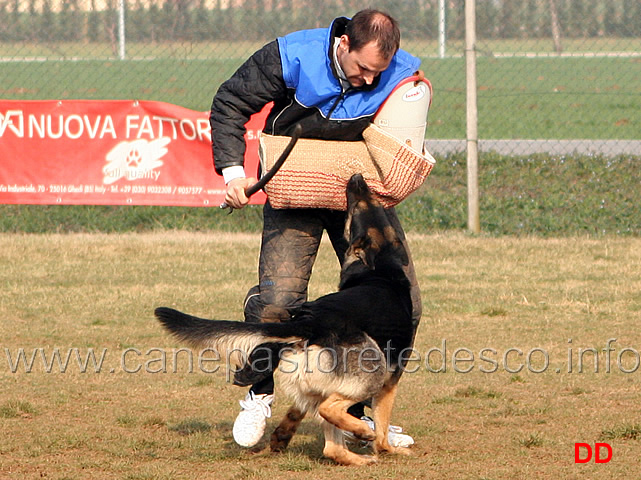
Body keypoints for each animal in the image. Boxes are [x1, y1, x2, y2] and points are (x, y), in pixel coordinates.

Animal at [155, 173, 416, 464]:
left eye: (371, 202)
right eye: (358, 208)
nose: (357, 178)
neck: (382, 267)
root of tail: (310, 321)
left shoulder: (312, 386)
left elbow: (298, 408)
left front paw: (283, 434)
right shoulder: (390, 380)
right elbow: (382, 433)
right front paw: (388, 446)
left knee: (332, 446)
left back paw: (356, 456)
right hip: (374, 366)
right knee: (331, 411)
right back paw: (363, 433)